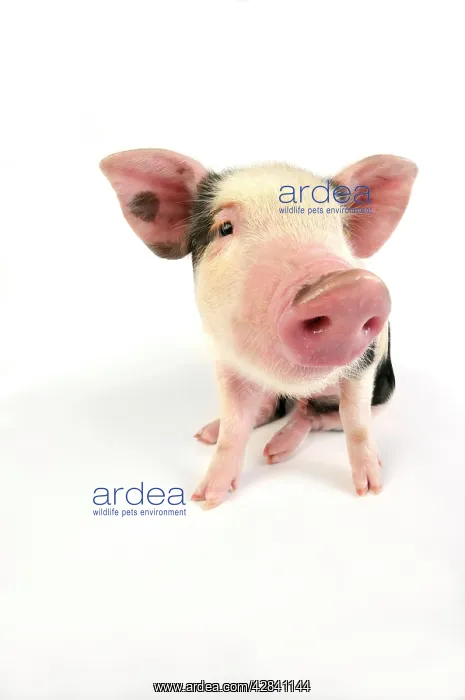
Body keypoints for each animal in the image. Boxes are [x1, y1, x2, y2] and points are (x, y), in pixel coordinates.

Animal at [100, 149, 417, 509]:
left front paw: (370, 488)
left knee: (316, 415)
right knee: (272, 408)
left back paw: (274, 451)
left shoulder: (366, 362)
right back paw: (210, 435)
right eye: (225, 228)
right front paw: (205, 499)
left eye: (338, 228)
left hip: (384, 392)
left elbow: (355, 418)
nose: (345, 289)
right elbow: (234, 426)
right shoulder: (226, 363)